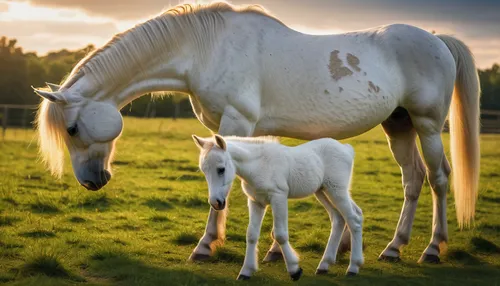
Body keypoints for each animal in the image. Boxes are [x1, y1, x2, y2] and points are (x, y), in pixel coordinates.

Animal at [192, 134, 364, 280]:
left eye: (221, 169)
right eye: (204, 171)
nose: (216, 202)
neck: (260, 165)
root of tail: (347, 149)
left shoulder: (278, 197)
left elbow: (280, 234)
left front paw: (294, 270)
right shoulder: (256, 202)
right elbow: (251, 234)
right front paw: (246, 271)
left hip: (337, 190)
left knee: (353, 219)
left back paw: (353, 267)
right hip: (322, 191)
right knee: (340, 218)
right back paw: (324, 265)